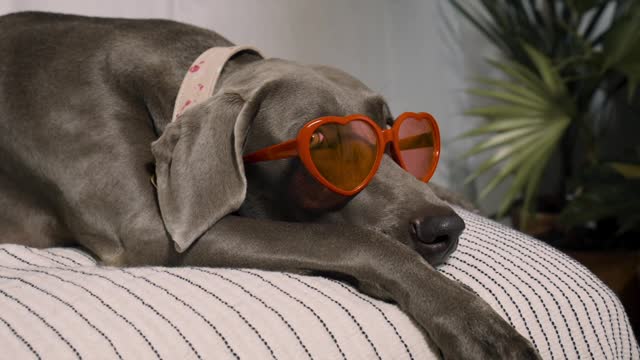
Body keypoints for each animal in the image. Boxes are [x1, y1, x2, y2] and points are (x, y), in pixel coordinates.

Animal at [0, 12, 540, 358]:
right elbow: (353, 239)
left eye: (394, 133)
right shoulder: (152, 232)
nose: (445, 229)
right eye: (326, 147)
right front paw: (476, 323)